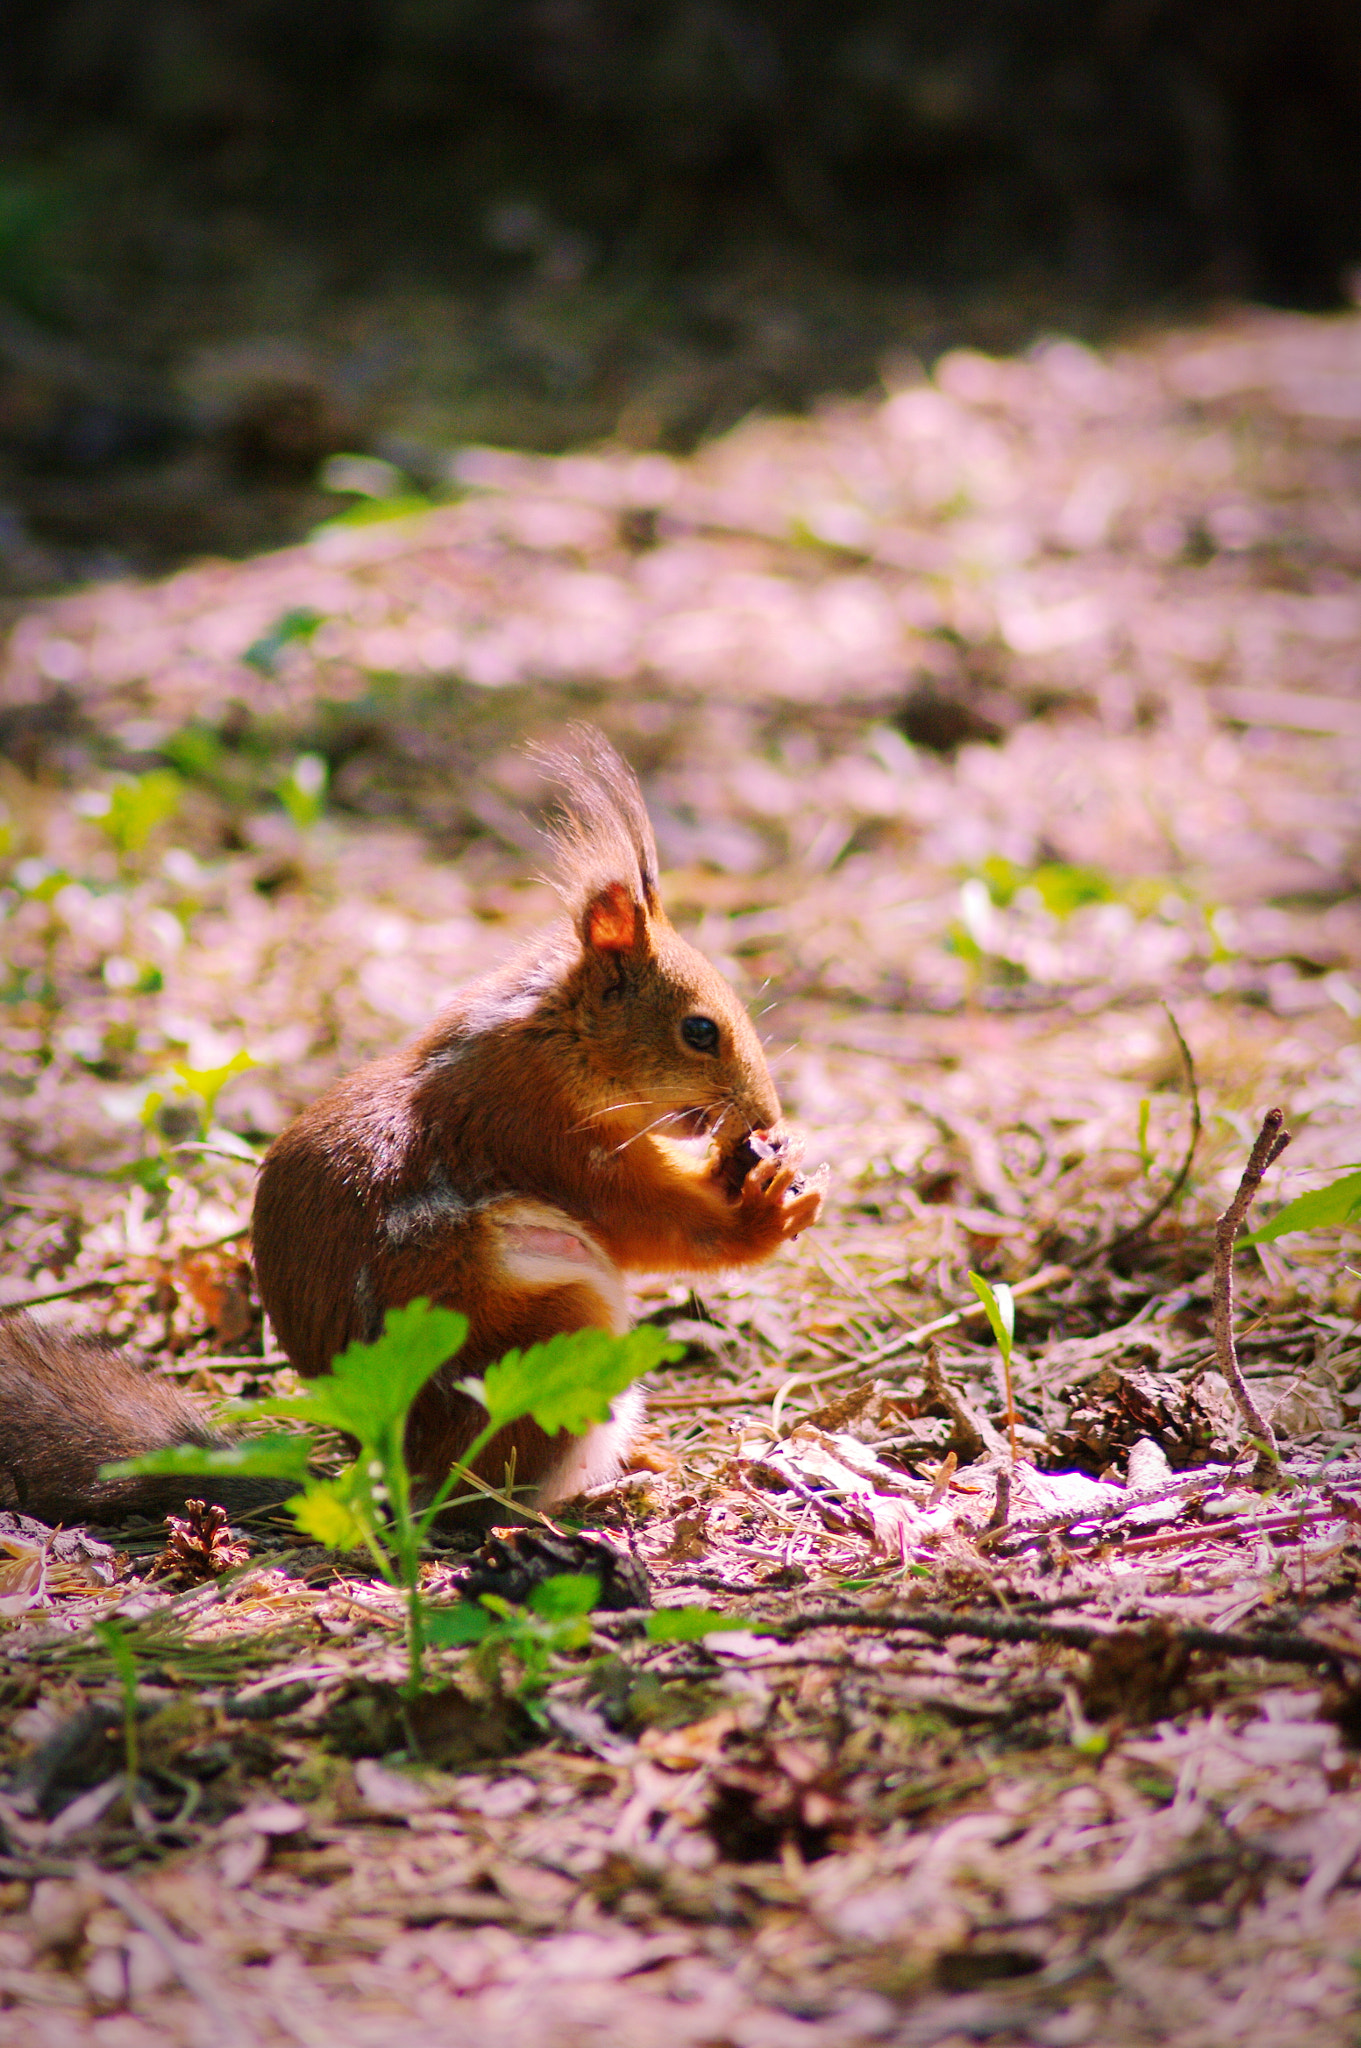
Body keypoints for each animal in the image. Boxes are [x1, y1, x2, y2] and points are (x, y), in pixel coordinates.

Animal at [0, 728, 823, 1527]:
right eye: (699, 1031)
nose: (767, 1117)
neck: (559, 1039)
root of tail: (398, 1480)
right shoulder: (542, 1133)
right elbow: (656, 1224)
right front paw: (767, 1210)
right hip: (550, 1336)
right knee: (500, 1495)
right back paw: (595, 1492)